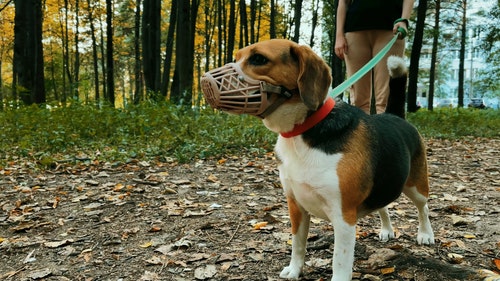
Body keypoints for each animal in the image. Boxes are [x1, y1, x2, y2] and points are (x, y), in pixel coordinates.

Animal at [199, 38, 434, 280]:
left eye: (258, 59)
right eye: (237, 57)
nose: (204, 81)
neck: (301, 131)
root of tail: (395, 115)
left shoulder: (343, 217)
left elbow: (340, 262)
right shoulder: (295, 205)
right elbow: (297, 244)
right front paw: (294, 270)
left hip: (416, 186)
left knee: (423, 208)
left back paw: (425, 234)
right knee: (383, 206)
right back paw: (387, 230)